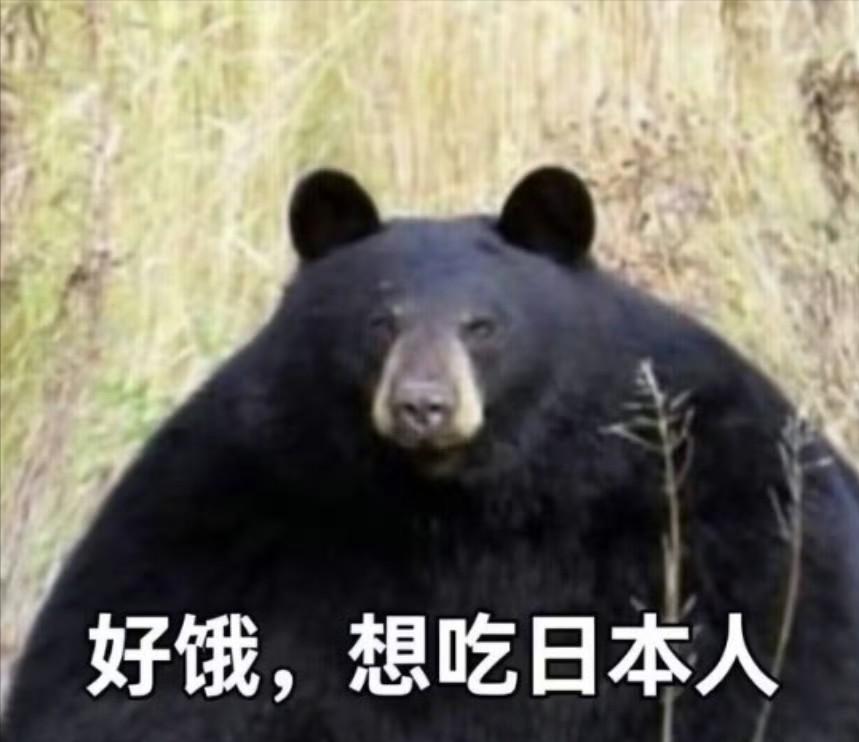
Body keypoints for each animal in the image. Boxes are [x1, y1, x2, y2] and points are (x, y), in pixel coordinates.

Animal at [3, 165, 858, 742]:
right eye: (380, 322)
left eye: (482, 326)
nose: (422, 405)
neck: (465, 499)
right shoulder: (234, 501)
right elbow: (133, 677)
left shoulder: (711, 490)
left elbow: (792, 652)